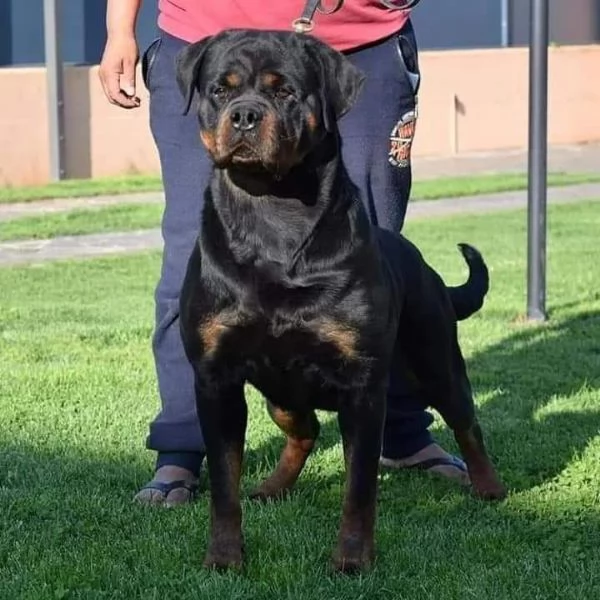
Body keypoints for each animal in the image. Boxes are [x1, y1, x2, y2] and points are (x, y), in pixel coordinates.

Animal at [175, 29, 506, 576]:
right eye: (220, 90)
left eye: (286, 91)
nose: (244, 115)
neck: (273, 215)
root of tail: (419, 258)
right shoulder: (215, 379)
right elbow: (224, 484)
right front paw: (224, 556)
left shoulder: (362, 388)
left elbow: (359, 486)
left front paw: (352, 557)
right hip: (280, 392)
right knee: (304, 427)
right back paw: (273, 486)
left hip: (435, 359)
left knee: (467, 422)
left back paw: (490, 486)